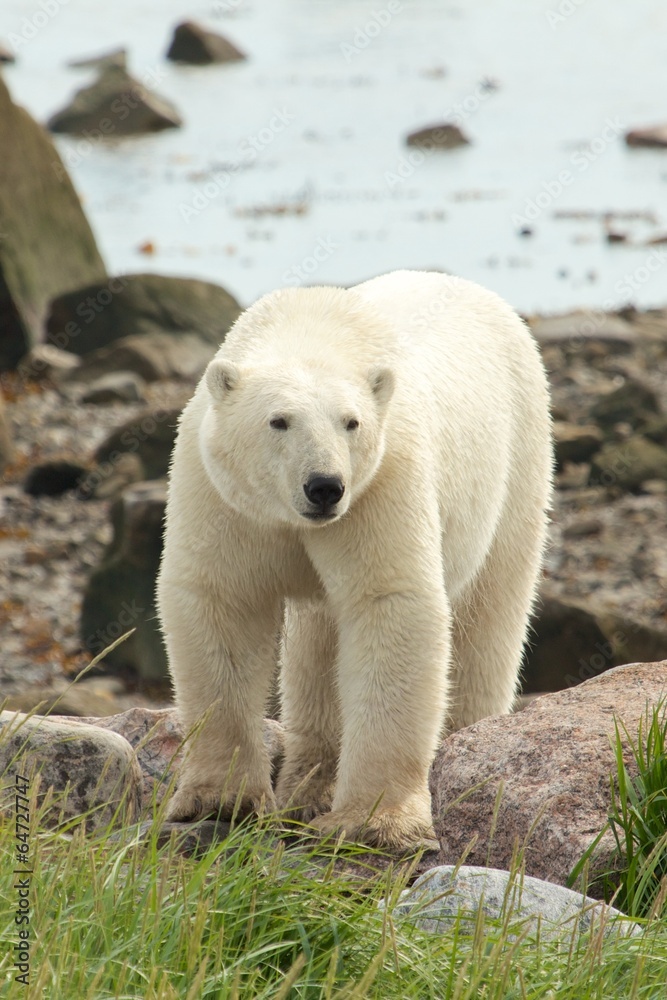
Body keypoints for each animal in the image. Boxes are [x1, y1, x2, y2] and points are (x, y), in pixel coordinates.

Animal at [156, 269, 553, 851]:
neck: (313, 328)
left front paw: (375, 822)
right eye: (278, 421)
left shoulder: (382, 480)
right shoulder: (222, 495)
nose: (324, 486)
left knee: (491, 614)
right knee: (317, 643)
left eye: (351, 422)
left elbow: (389, 602)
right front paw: (220, 799)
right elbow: (222, 603)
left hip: (519, 457)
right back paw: (307, 787)